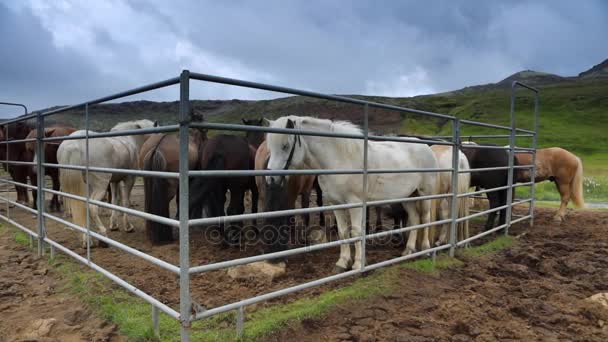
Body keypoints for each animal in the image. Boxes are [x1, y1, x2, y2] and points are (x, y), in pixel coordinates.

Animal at [57, 119, 158, 247]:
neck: (129, 139)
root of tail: (73, 144)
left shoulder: (114, 181)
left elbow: (114, 201)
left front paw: (114, 225)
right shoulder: (130, 179)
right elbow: (125, 202)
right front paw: (128, 227)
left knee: (83, 207)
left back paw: (87, 240)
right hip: (100, 186)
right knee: (92, 207)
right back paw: (103, 235)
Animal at [264, 116, 436, 272]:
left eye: (285, 146)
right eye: (270, 147)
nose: (270, 179)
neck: (340, 161)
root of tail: (426, 147)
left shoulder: (355, 204)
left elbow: (356, 232)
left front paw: (358, 264)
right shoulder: (336, 204)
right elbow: (343, 232)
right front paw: (342, 263)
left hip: (425, 194)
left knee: (425, 218)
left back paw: (425, 250)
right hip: (408, 196)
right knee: (415, 219)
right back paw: (409, 250)